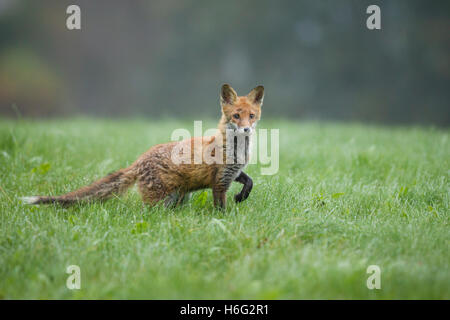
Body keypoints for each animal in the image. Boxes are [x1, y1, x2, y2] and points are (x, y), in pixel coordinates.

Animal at [22, 84, 264, 210]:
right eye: (236, 116)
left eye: (251, 116)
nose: (246, 129)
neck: (235, 149)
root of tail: (138, 160)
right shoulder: (219, 181)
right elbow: (220, 207)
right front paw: (224, 220)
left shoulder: (234, 172)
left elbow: (249, 182)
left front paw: (241, 196)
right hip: (161, 200)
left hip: (177, 197)